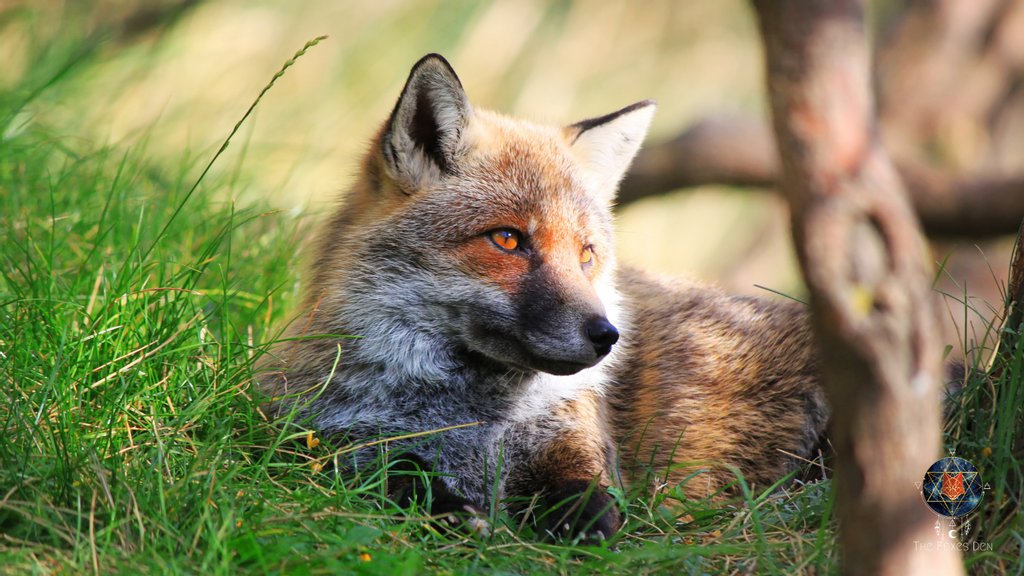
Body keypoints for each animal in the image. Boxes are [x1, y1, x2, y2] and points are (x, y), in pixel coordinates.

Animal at [258, 53, 828, 541]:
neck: (476, 420)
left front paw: (585, 526)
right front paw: (449, 509)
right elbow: (393, 468)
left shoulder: (579, 438)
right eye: (508, 240)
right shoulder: (310, 432)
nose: (607, 336)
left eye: (586, 254)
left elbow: (588, 495)